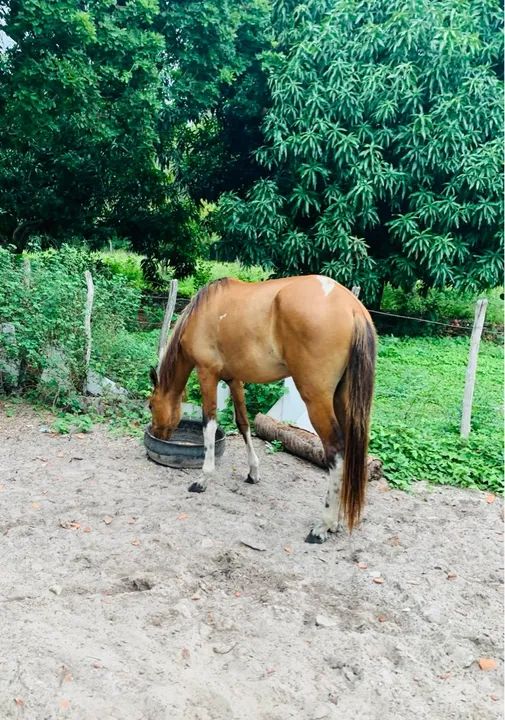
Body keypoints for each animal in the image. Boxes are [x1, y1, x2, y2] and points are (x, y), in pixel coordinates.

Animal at [148, 274, 376, 543]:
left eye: (151, 405)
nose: (157, 434)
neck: (204, 311)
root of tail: (352, 306)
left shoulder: (207, 374)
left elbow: (209, 424)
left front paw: (204, 478)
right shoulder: (234, 379)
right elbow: (243, 424)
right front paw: (253, 472)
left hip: (317, 400)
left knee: (336, 451)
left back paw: (323, 526)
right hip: (343, 399)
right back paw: (338, 522)